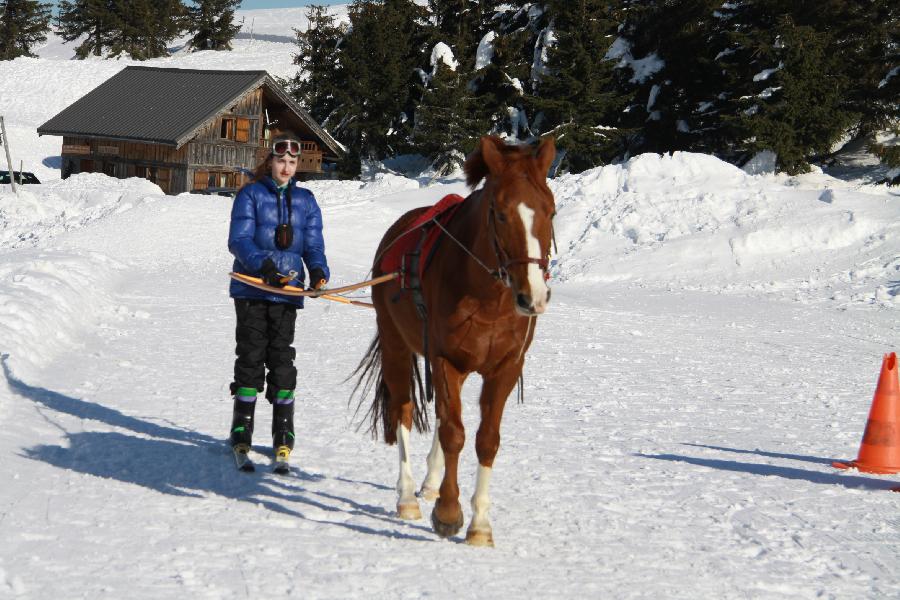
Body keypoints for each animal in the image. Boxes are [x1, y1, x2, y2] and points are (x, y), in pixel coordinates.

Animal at [354, 136, 556, 548]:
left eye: (551, 210)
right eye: (500, 213)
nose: (533, 296)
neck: (489, 299)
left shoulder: (504, 368)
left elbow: (485, 440)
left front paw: (480, 525)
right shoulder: (446, 360)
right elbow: (453, 433)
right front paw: (448, 513)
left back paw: (431, 483)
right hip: (397, 346)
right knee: (404, 411)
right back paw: (407, 497)